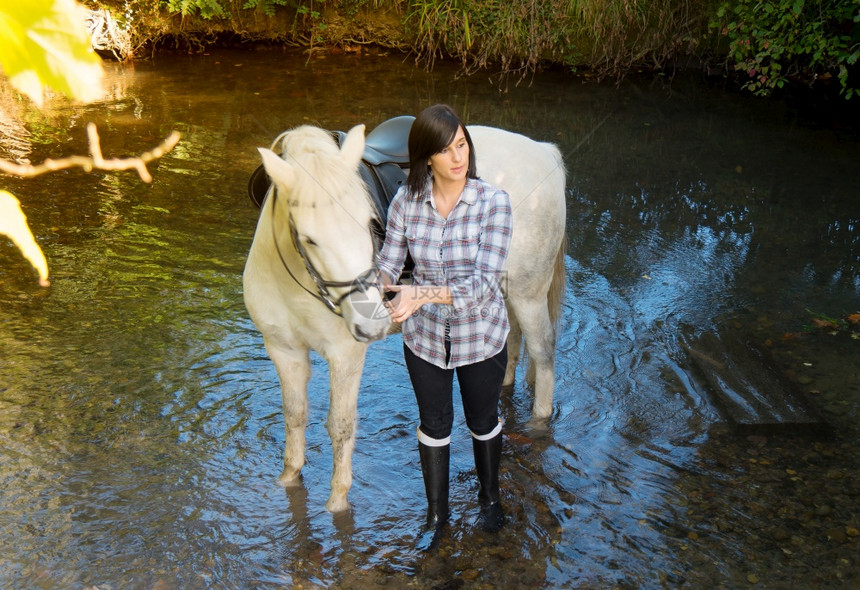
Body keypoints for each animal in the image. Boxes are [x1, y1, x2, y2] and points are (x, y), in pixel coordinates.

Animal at [244, 121, 564, 512]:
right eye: (310, 239)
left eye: (368, 222)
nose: (371, 322)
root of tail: (543, 151)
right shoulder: (283, 350)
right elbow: (294, 416)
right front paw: (288, 479)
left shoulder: (345, 357)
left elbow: (340, 426)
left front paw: (337, 502)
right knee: (511, 341)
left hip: (529, 295)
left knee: (543, 355)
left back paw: (539, 421)